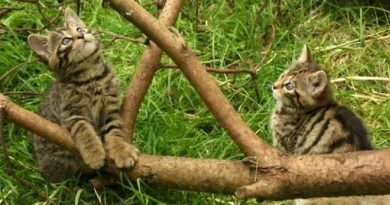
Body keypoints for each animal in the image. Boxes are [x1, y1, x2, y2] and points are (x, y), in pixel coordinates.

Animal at [26, 7, 139, 183]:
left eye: (79, 29)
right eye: (66, 41)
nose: (81, 35)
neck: (89, 76)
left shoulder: (110, 107)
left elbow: (114, 130)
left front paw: (121, 150)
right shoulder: (70, 112)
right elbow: (83, 130)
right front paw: (94, 153)